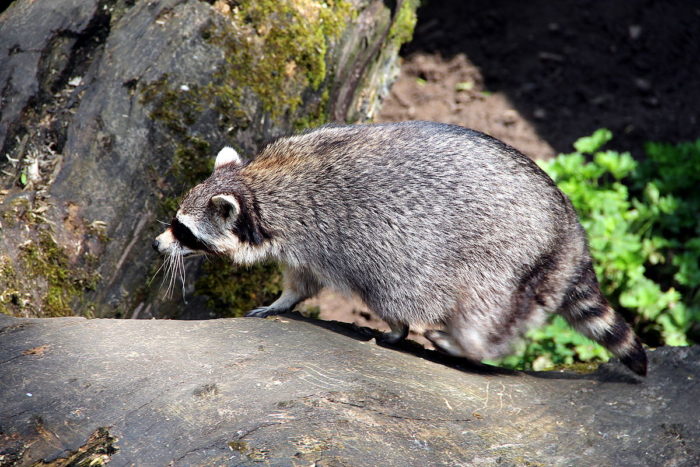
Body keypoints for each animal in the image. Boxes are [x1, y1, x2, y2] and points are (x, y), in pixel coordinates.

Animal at [156, 120, 648, 376]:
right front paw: (283, 300)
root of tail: (570, 232)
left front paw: (396, 328)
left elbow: (389, 290)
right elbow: (302, 281)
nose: (159, 244)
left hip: (504, 257)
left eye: (184, 231)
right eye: (175, 222)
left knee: (479, 309)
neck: (258, 187)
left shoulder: (334, 237)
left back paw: (466, 342)